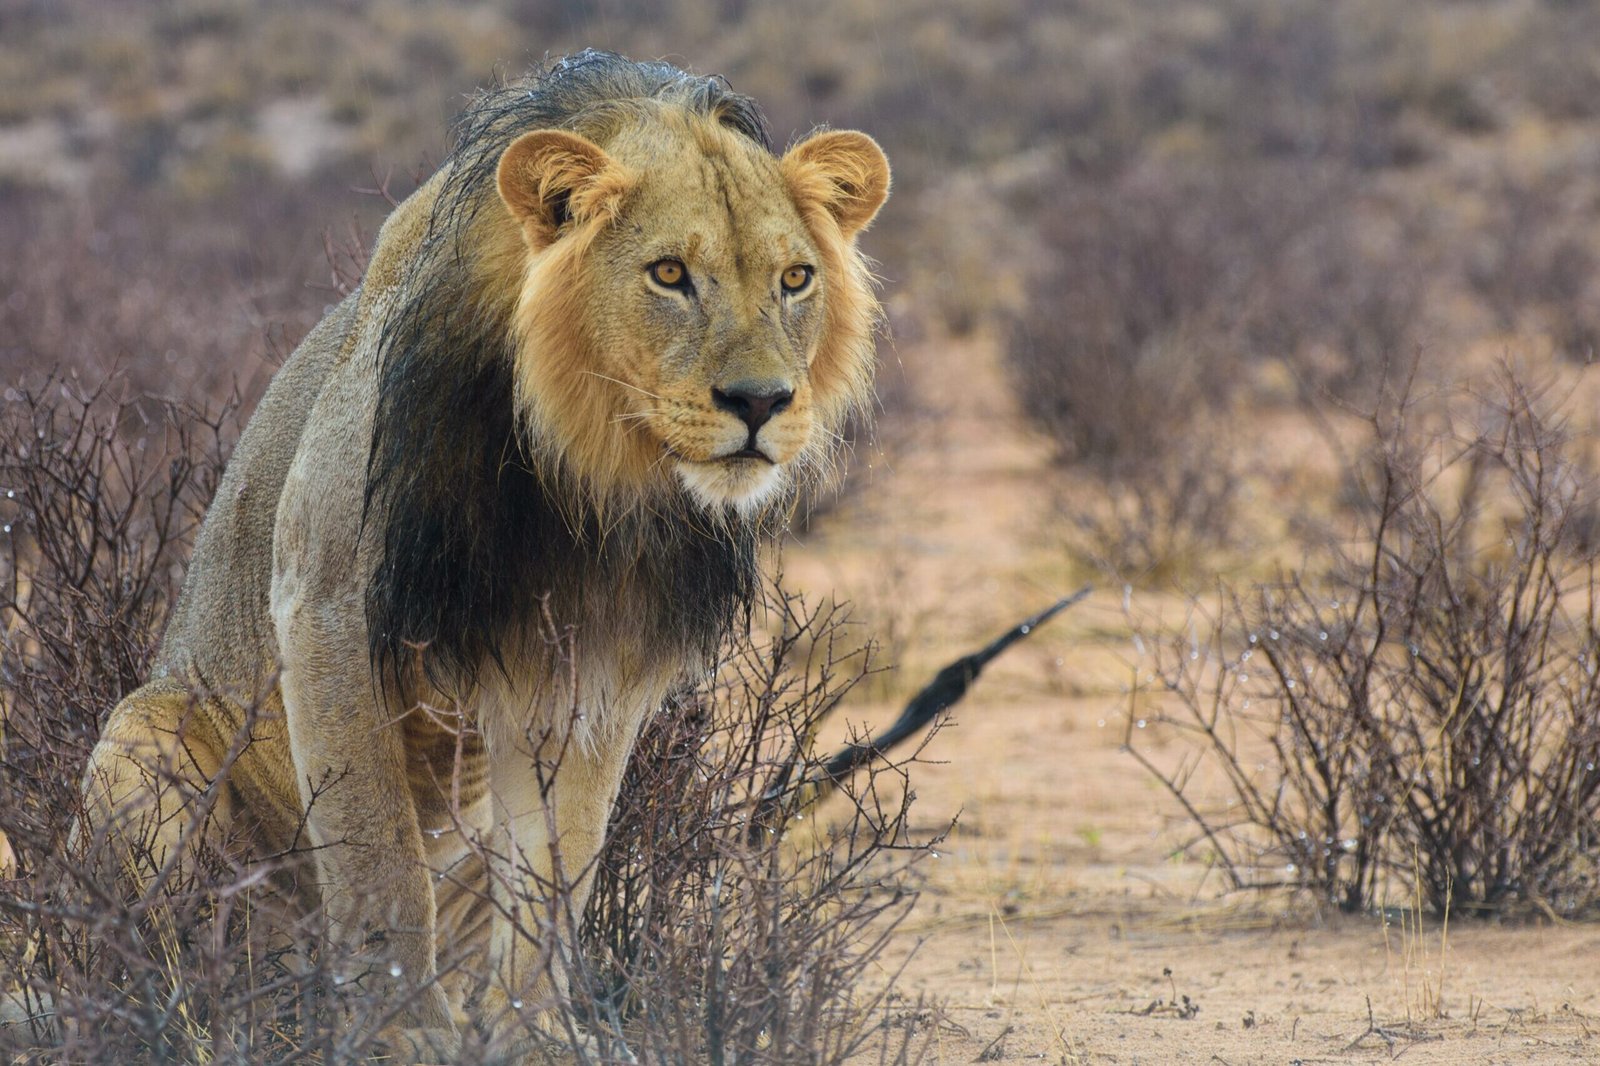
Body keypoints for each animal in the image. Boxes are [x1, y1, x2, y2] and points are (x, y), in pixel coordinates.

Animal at [72, 50, 888, 1061]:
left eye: (794, 278)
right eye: (669, 274)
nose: (761, 401)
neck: (584, 470)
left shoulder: (594, 669)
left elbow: (559, 873)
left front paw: (537, 1035)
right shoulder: (326, 604)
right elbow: (379, 862)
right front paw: (400, 1033)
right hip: (140, 740)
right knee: (151, 953)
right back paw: (189, 1013)